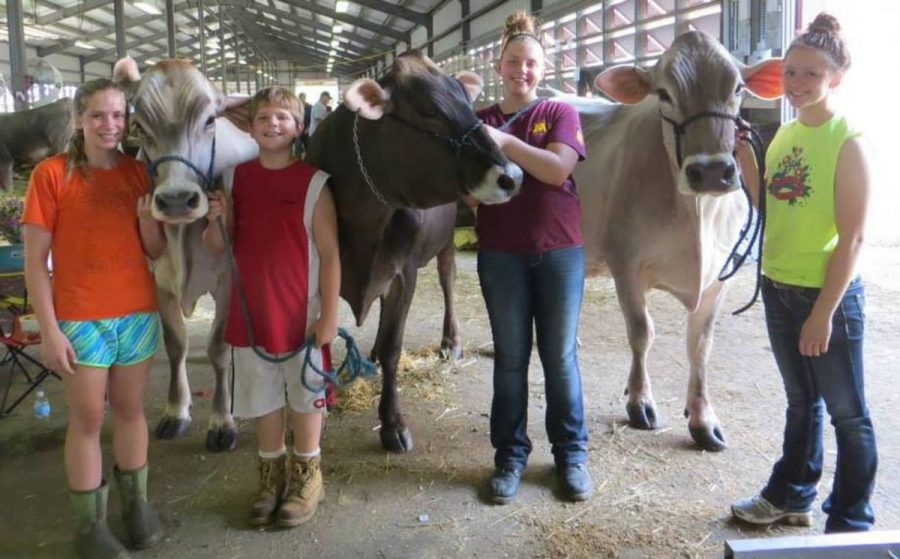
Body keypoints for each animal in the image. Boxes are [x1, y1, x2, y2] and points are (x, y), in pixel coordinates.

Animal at [568, 29, 780, 450]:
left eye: (738, 88)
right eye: (664, 94)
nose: (712, 171)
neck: (695, 216)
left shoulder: (720, 277)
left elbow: (700, 345)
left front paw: (702, 418)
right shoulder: (626, 263)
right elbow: (641, 332)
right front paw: (639, 402)